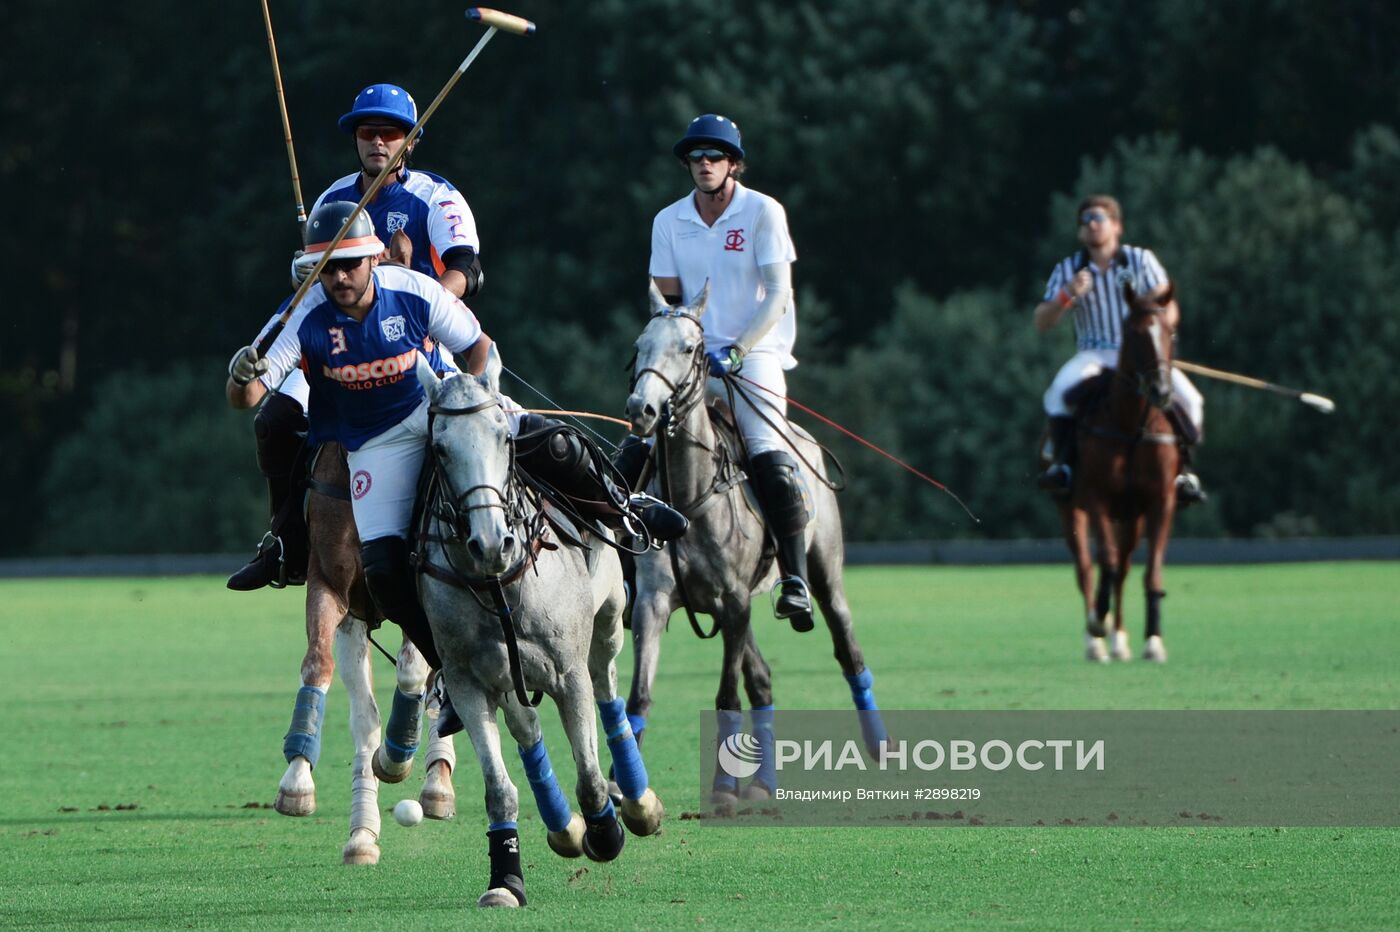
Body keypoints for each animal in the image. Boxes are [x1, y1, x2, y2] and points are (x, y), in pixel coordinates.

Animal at [411, 349, 663, 906]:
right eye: (438, 448)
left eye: (504, 437)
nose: (491, 543)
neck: (498, 585)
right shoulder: (468, 682)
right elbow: (498, 789)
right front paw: (505, 880)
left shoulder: (567, 671)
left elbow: (590, 773)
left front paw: (605, 832)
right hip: (510, 677)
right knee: (527, 728)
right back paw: (563, 828)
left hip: (608, 623)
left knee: (609, 694)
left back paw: (637, 805)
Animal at [621, 282, 884, 806]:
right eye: (639, 345)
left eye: (689, 348)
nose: (642, 410)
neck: (688, 499)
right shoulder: (654, 602)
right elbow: (639, 695)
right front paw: (630, 796)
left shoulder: (735, 599)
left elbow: (726, 694)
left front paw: (723, 790)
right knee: (761, 680)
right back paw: (763, 783)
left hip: (824, 573)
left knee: (847, 648)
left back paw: (878, 743)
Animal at [1058, 281, 1181, 660]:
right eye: (1133, 333)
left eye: (1170, 331)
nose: (1161, 391)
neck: (1132, 427)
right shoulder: (1095, 498)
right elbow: (1105, 563)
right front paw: (1098, 623)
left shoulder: (1160, 501)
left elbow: (1151, 571)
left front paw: (1153, 640)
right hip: (1071, 508)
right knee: (1087, 567)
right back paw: (1096, 641)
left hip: (1130, 516)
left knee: (1124, 568)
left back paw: (1119, 639)